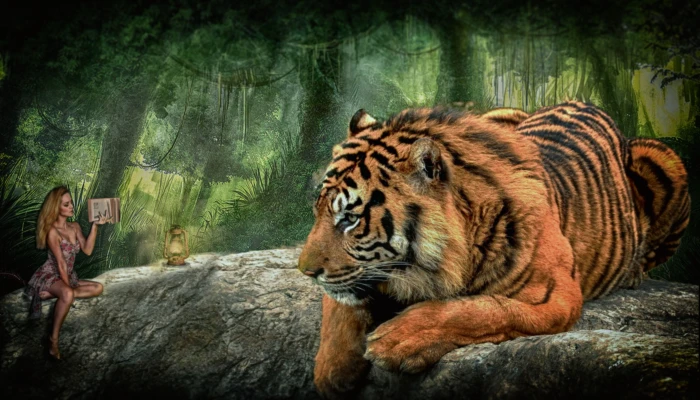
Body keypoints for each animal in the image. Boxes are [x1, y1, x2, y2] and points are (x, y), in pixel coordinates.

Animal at [297, 101, 690, 398]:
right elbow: (340, 306)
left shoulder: (556, 296)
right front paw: (331, 372)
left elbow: (479, 310)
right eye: (318, 211)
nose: (305, 271)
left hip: (667, 159)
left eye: (350, 219)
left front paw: (396, 339)